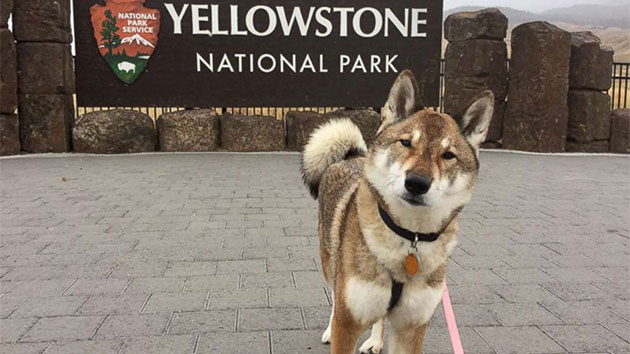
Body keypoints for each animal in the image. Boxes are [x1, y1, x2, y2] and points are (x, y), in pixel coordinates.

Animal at [302, 70, 494, 354]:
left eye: (448, 155)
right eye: (405, 143)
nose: (417, 183)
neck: (408, 238)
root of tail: (352, 156)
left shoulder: (411, 328)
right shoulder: (347, 323)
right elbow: (340, 311)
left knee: (380, 317)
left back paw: (374, 340)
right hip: (330, 263)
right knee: (335, 297)